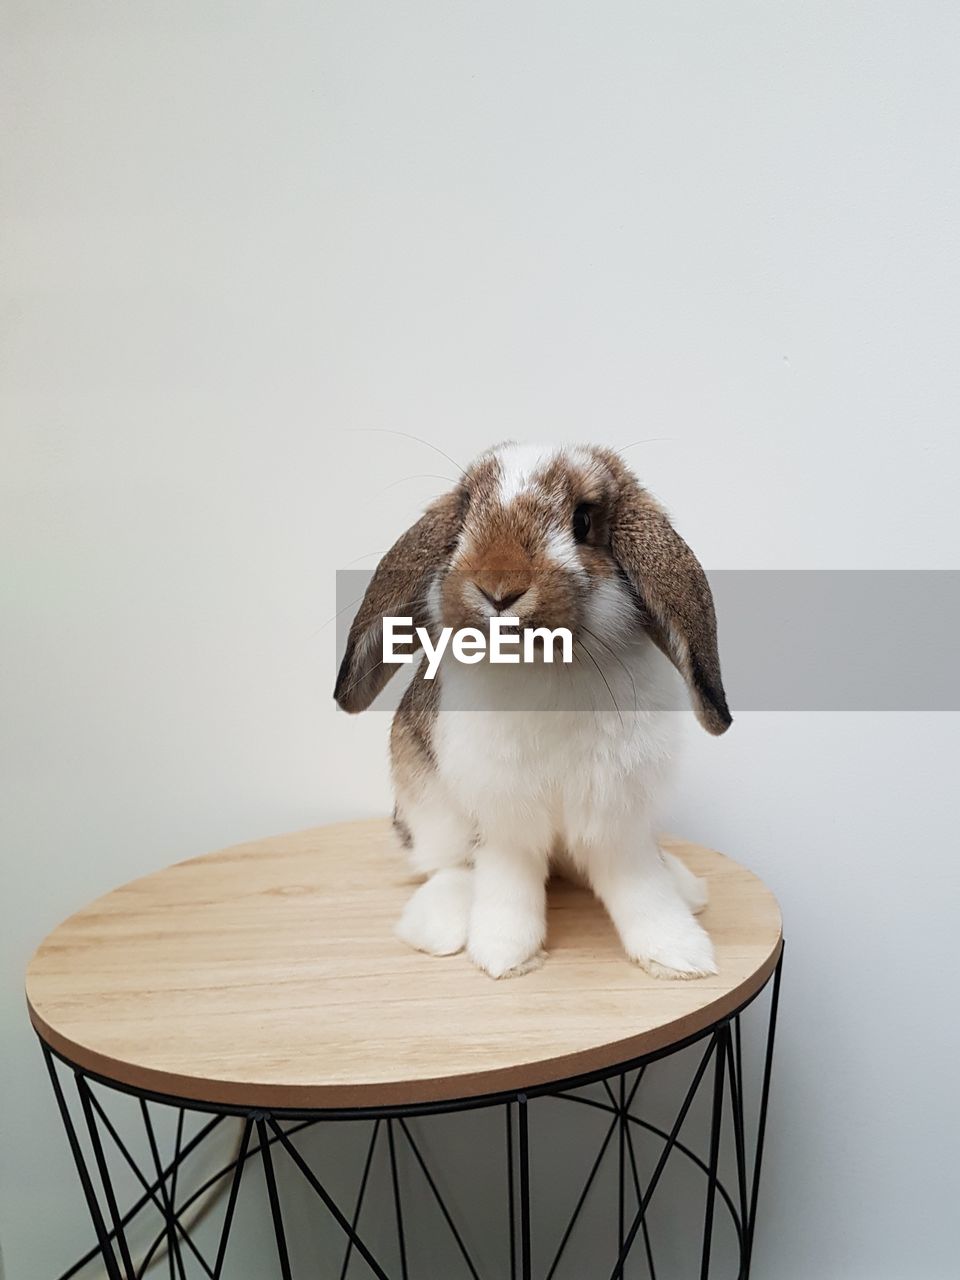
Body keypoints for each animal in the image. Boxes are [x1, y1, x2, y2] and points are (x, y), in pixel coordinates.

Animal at [335, 442, 732, 977]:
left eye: (582, 521)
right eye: (465, 513)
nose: (499, 589)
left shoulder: (617, 817)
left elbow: (641, 887)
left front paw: (679, 955)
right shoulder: (506, 817)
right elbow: (509, 882)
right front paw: (506, 956)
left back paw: (686, 886)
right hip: (425, 800)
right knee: (449, 865)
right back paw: (437, 925)